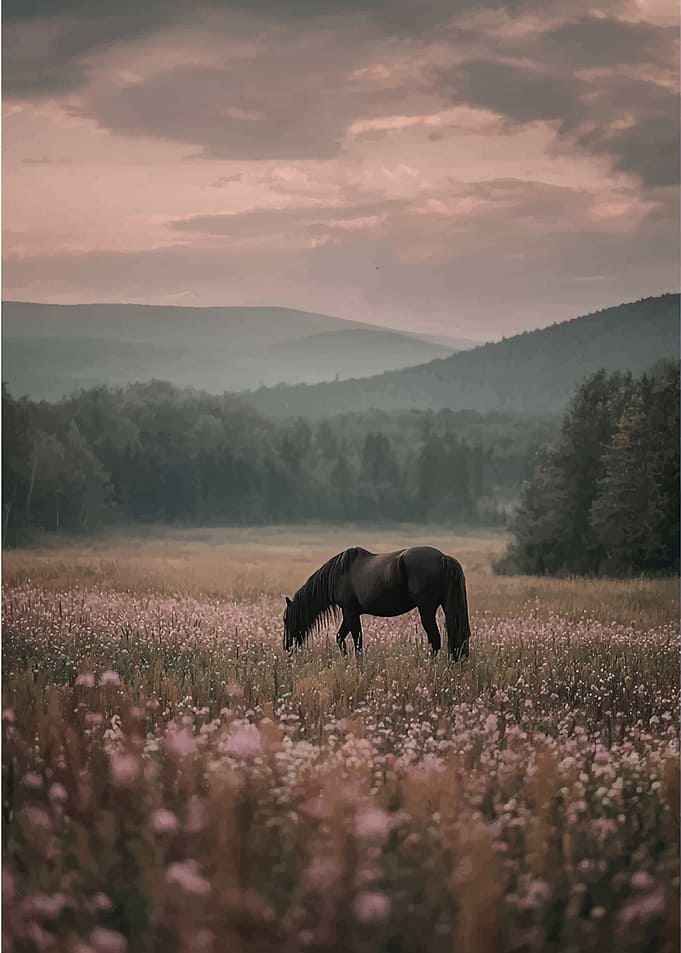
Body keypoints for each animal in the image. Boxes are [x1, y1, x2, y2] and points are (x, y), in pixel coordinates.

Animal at [283, 545, 471, 660]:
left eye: (285, 619)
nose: (287, 646)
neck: (338, 574)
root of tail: (443, 558)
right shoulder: (351, 614)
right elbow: (342, 639)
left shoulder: (349, 612)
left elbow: (356, 644)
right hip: (445, 606)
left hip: (426, 610)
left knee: (436, 640)